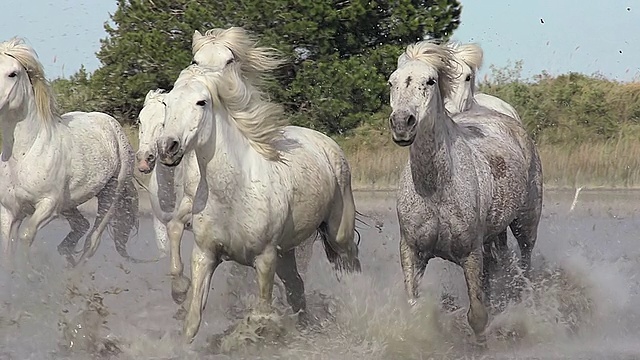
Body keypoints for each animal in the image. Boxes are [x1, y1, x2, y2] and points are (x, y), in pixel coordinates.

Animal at [0, 38, 144, 268]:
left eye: (12, 73)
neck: (24, 154)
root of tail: (113, 125)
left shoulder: (49, 206)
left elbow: (26, 236)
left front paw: (30, 272)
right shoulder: (9, 211)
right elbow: (8, 250)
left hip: (111, 195)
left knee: (92, 241)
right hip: (70, 204)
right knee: (81, 225)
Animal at [154, 59, 360, 344]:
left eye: (201, 102)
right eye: (167, 102)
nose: (167, 148)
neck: (234, 191)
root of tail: (327, 143)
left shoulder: (264, 259)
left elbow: (262, 315)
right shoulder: (204, 254)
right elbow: (193, 319)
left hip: (337, 231)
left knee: (350, 261)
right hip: (285, 252)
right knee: (297, 287)